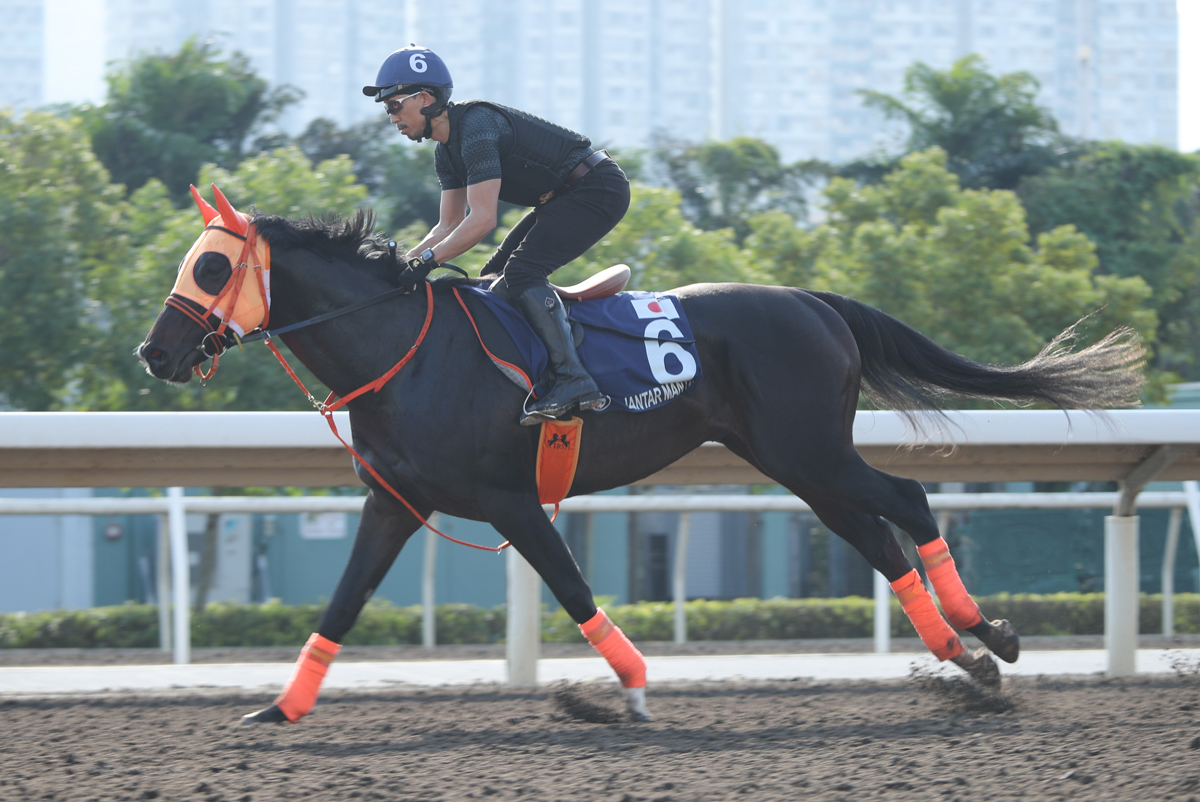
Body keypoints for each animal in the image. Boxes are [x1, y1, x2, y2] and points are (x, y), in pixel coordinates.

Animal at [138, 184, 1142, 725]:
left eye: (211, 267)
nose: (156, 352)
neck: (405, 349)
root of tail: (814, 300)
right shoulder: (397, 502)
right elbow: (342, 604)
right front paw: (282, 706)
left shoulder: (510, 501)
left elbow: (574, 589)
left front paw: (630, 689)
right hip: (794, 460)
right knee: (875, 533)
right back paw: (963, 654)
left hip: (808, 450)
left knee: (907, 500)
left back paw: (989, 634)